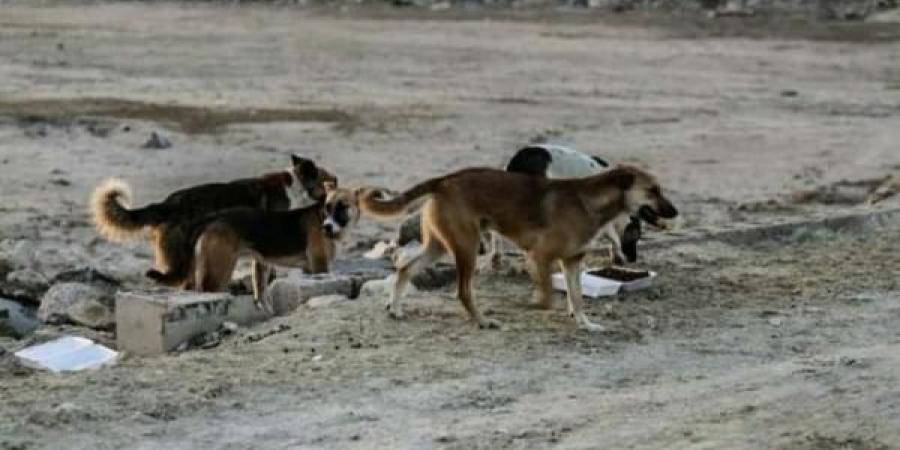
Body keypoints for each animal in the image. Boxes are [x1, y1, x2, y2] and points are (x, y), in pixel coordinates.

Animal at [144, 183, 358, 302]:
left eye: (342, 207)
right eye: (327, 207)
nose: (326, 227)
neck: (320, 216)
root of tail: (212, 218)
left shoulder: (309, 269)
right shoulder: (320, 266)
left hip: (203, 268)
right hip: (219, 272)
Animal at [358, 165, 676, 330]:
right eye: (653, 190)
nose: (675, 212)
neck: (590, 202)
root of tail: (444, 180)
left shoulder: (572, 261)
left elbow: (577, 298)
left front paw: (584, 323)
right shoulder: (540, 257)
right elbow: (548, 298)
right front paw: (535, 305)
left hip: (440, 246)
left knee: (404, 267)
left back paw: (395, 308)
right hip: (467, 248)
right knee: (462, 291)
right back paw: (482, 320)